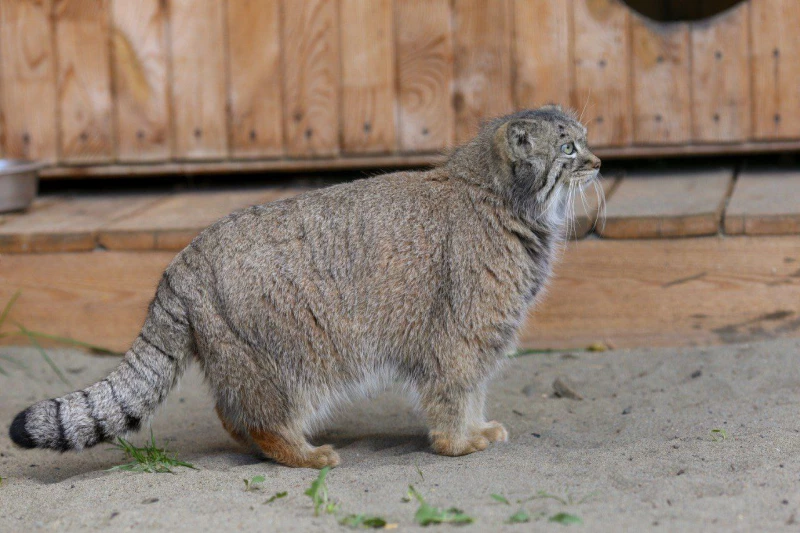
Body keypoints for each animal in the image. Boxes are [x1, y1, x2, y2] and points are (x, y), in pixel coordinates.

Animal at [10, 106, 600, 468]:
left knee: (230, 413)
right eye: (568, 149)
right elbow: (455, 395)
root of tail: (182, 259)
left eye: (584, 142)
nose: (598, 161)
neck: (501, 200)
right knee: (263, 418)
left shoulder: (478, 340)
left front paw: (477, 429)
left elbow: (474, 392)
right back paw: (304, 453)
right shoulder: (460, 336)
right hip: (293, 362)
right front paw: (459, 442)